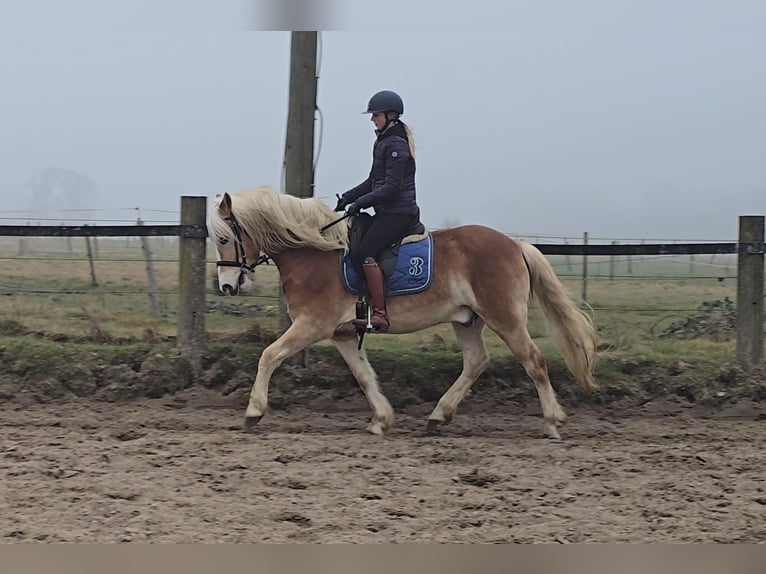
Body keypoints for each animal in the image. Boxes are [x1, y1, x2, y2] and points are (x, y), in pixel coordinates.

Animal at [210, 187, 600, 438]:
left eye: (225, 239)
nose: (227, 286)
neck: (314, 252)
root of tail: (515, 244)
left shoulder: (311, 325)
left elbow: (268, 355)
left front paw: (253, 412)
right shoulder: (343, 333)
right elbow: (364, 376)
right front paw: (381, 420)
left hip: (504, 317)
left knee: (534, 361)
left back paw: (552, 422)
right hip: (467, 320)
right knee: (476, 362)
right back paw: (438, 417)